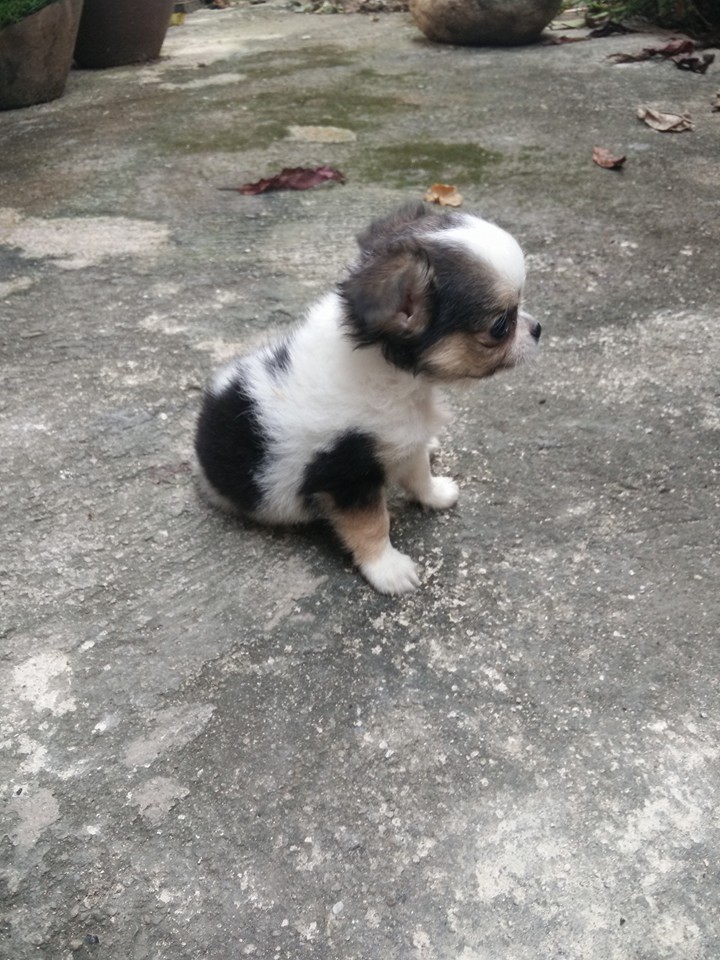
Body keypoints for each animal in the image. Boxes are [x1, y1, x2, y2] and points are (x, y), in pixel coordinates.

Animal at [194, 202, 541, 595]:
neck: (396, 379)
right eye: (500, 326)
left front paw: (435, 494)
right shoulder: (347, 474)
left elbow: (418, 471)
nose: (538, 329)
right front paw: (388, 569)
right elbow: (371, 524)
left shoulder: (404, 438)